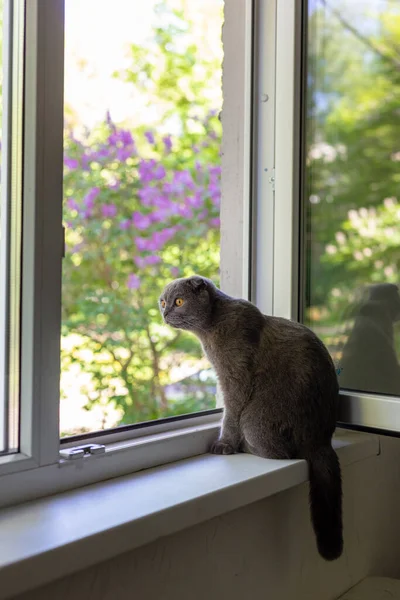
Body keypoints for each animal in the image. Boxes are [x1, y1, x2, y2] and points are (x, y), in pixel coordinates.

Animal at [159, 274, 344, 560]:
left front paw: (224, 444)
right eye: (163, 301)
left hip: (255, 418)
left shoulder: (235, 376)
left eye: (178, 301)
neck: (212, 326)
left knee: (281, 453)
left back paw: (246, 447)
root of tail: (321, 440)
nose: (165, 312)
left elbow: (230, 413)